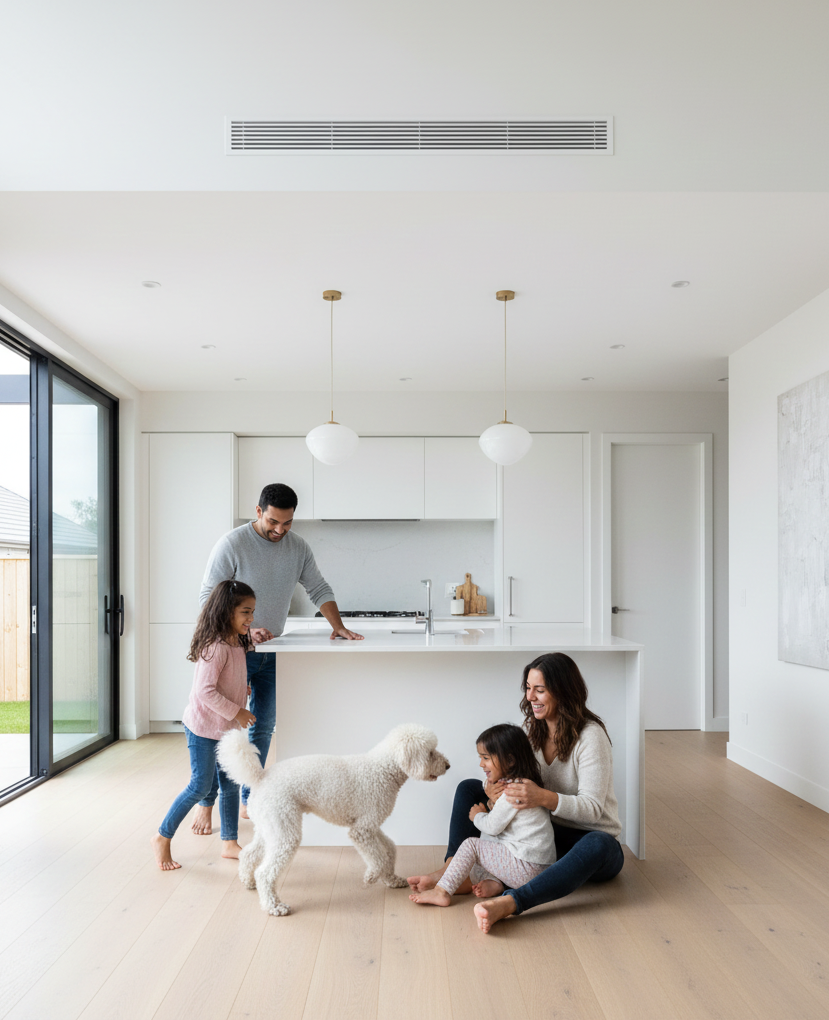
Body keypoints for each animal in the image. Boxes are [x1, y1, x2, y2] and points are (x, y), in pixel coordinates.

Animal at [217, 724, 450, 916]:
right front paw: (372, 876)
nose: (448, 765)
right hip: (285, 830)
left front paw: (392, 879)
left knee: (248, 854)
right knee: (265, 873)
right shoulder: (362, 831)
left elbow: (390, 849)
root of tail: (260, 777)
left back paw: (248, 882)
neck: (383, 770)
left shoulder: (371, 825)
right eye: (430, 753)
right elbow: (378, 858)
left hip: (270, 827)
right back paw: (274, 906)